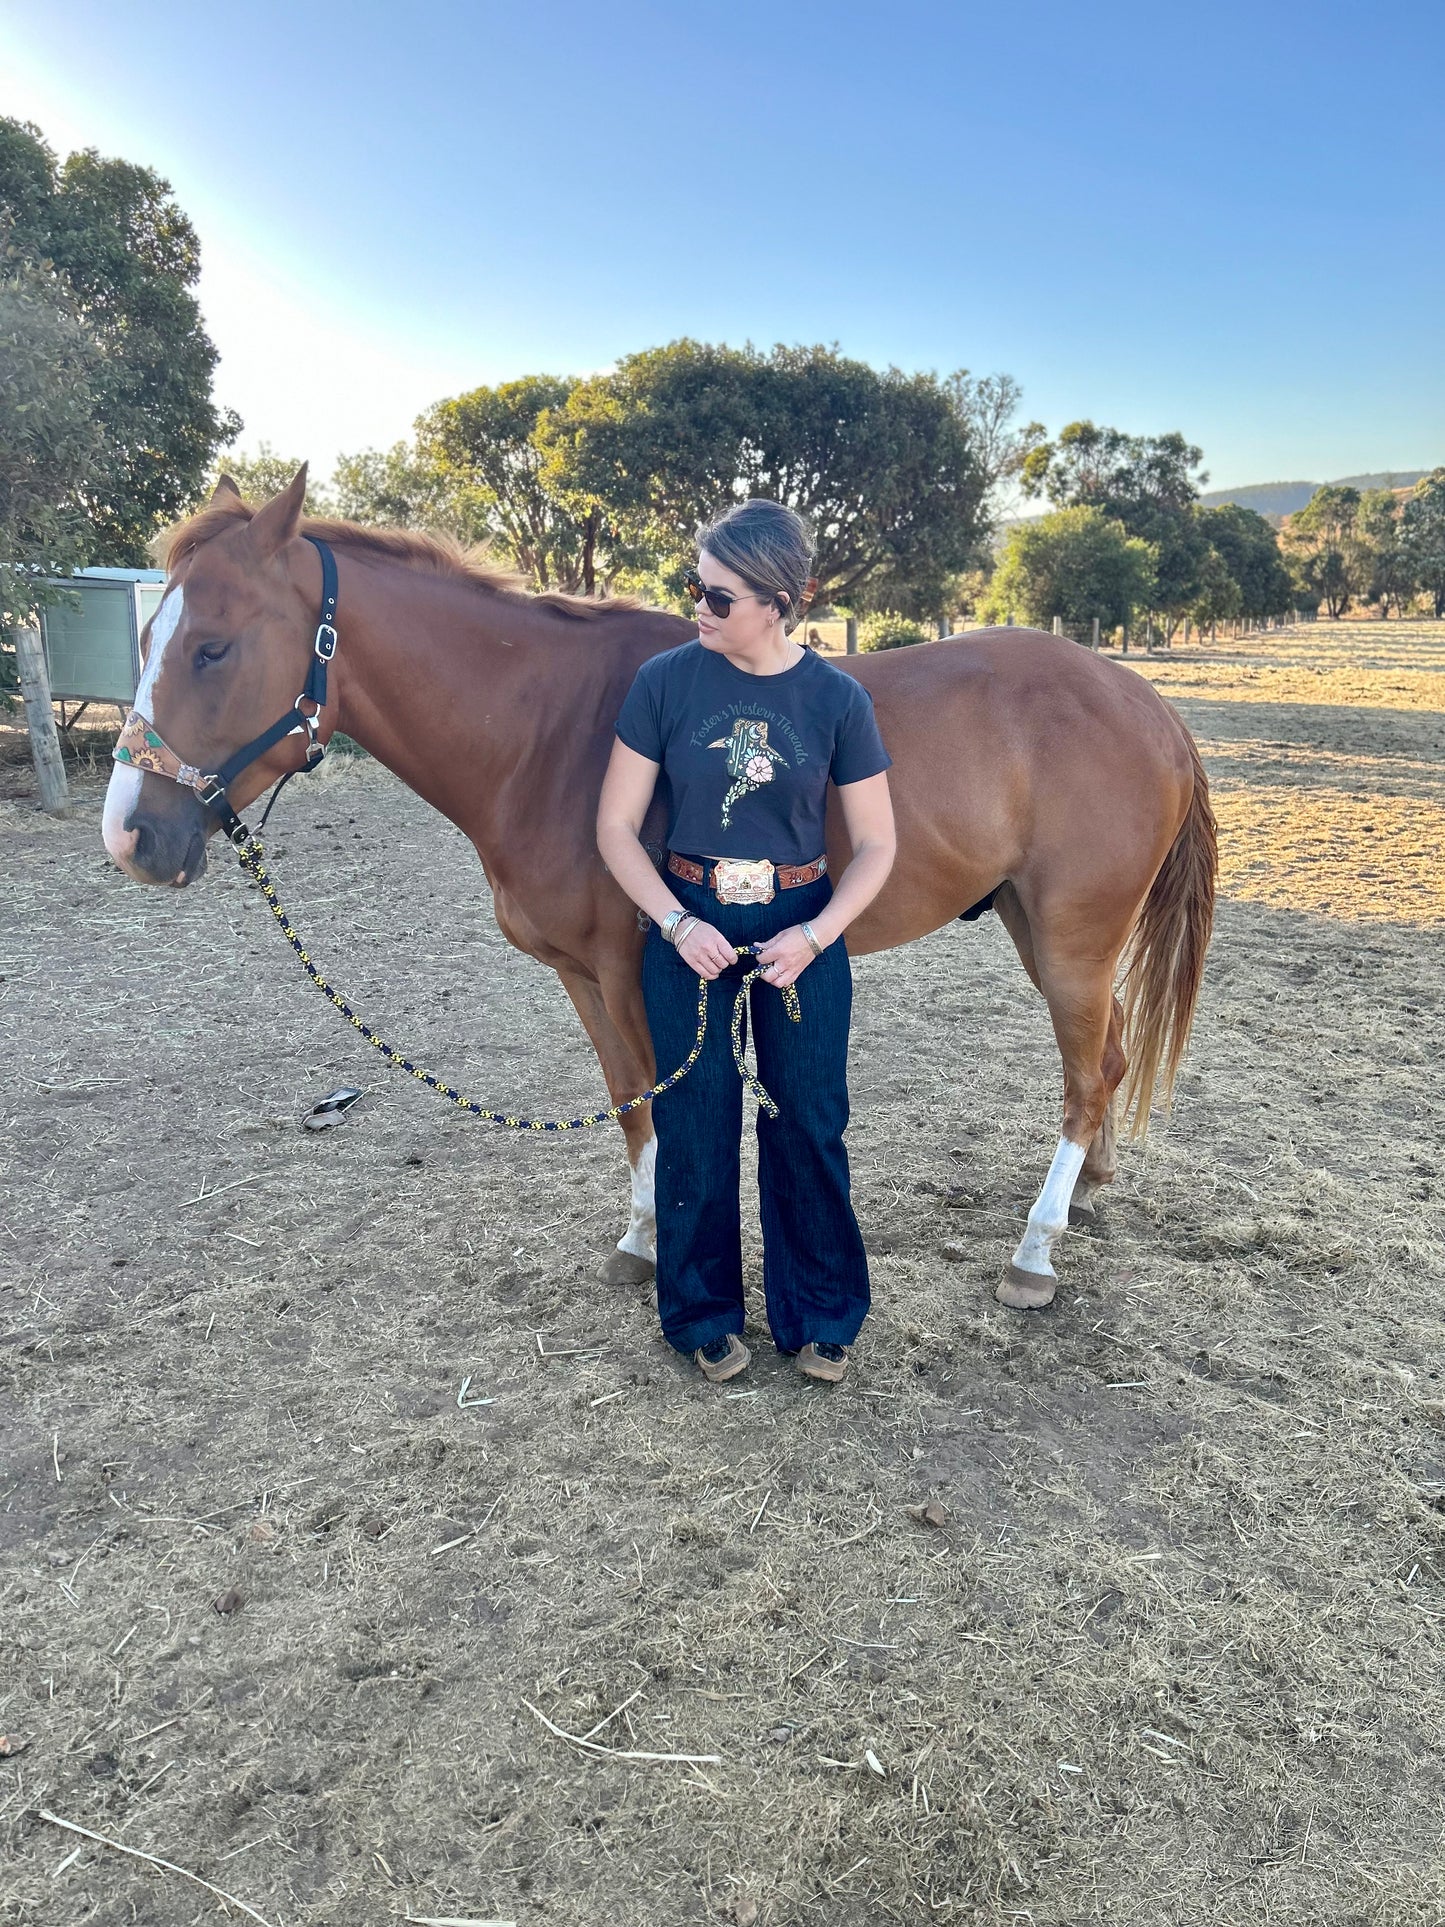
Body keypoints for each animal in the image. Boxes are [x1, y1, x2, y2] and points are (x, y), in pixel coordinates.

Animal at [96, 472, 1217, 1310]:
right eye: (145, 639)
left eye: (213, 646)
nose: (131, 836)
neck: (549, 735)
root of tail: (1148, 706)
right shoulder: (584, 978)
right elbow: (627, 1103)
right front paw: (640, 1239)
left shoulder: (637, 969)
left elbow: (661, 1104)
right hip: (1037, 928)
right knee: (1109, 1061)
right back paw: (1089, 1194)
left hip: (1071, 936)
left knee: (1086, 1076)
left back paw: (1034, 1250)